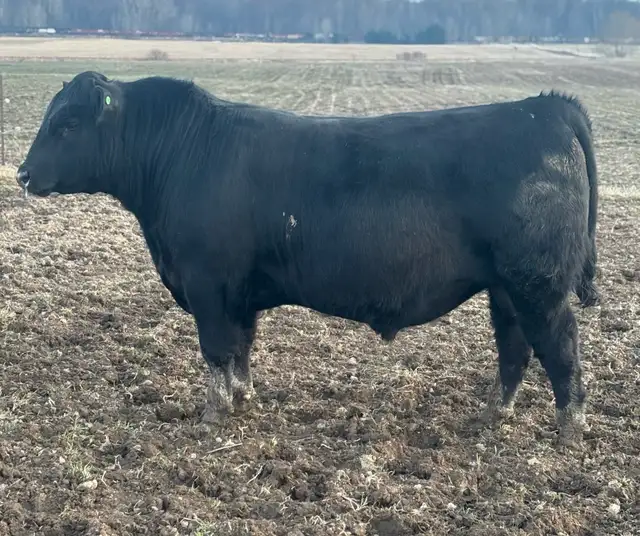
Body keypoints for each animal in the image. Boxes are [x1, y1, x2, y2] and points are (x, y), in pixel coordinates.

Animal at [16, 71, 599, 447]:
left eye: (68, 124)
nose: (21, 173)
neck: (183, 154)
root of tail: (546, 105)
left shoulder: (208, 286)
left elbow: (216, 351)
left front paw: (212, 415)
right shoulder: (237, 294)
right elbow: (242, 348)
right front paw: (243, 399)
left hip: (539, 285)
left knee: (560, 347)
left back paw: (568, 429)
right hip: (506, 287)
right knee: (515, 348)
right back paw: (493, 414)